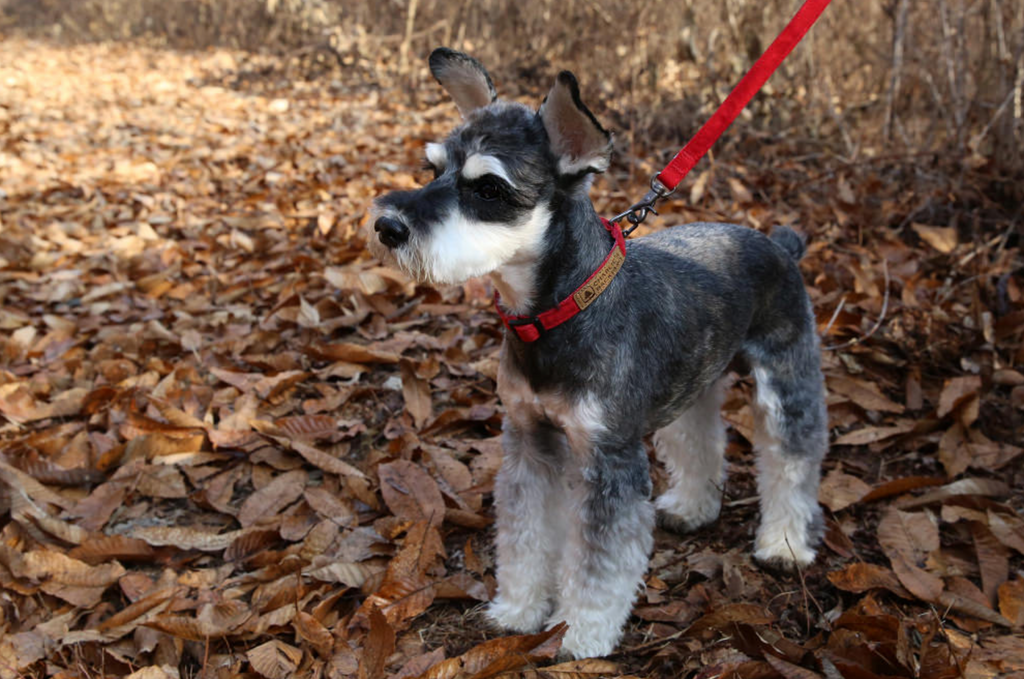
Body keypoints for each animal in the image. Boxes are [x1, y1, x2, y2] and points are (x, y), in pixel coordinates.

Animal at [370, 46, 831, 659]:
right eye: (431, 170)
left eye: (489, 189)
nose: (387, 225)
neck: (558, 310)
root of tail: (779, 246)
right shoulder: (530, 441)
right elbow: (526, 535)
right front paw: (518, 610)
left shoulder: (609, 459)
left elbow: (599, 565)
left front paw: (580, 635)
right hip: (694, 380)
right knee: (698, 438)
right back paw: (693, 507)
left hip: (786, 381)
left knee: (792, 461)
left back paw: (784, 542)